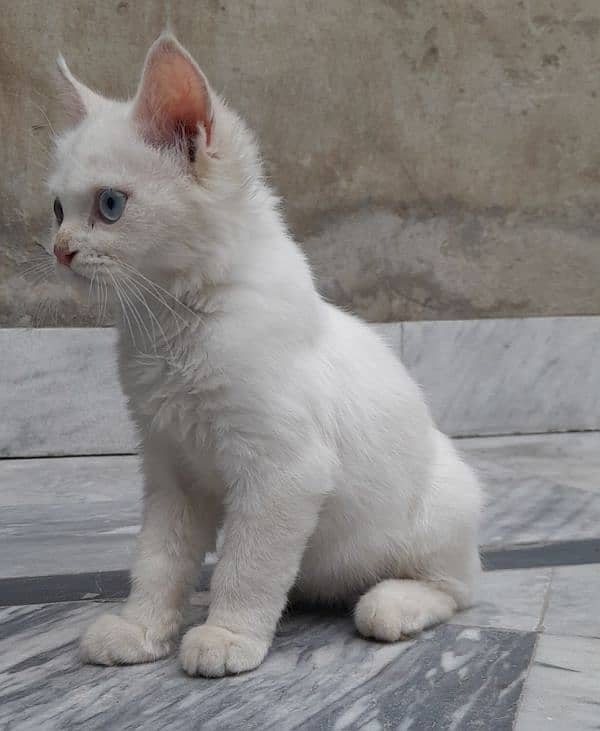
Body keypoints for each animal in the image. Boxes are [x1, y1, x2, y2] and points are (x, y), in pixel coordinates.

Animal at [45, 31, 482, 676]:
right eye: (57, 211)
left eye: (110, 205)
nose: (60, 250)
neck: (174, 325)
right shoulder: (172, 473)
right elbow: (158, 563)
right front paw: (142, 630)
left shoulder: (281, 473)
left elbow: (248, 568)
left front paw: (228, 637)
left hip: (436, 518)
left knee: (454, 589)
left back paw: (389, 605)